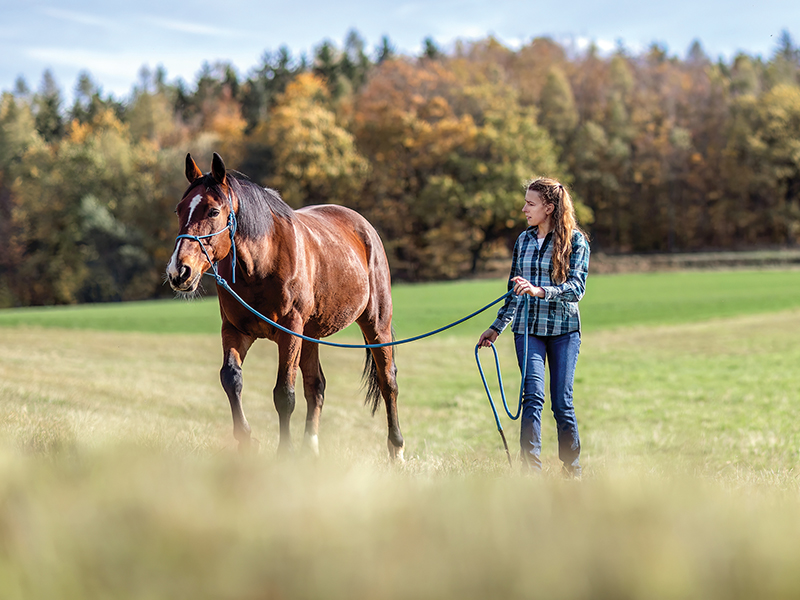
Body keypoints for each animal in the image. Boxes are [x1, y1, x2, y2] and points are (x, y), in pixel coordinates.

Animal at [166, 152, 404, 460]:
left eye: (213, 212)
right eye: (179, 210)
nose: (179, 271)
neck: (261, 264)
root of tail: (363, 226)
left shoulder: (289, 332)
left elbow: (284, 393)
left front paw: (285, 452)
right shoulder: (235, 330)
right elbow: (231, 379)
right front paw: (247, 441)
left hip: (376, 325)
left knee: (388, 382)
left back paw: (396, 448)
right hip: (311, 335)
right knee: (316, 386)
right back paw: (310, 449)